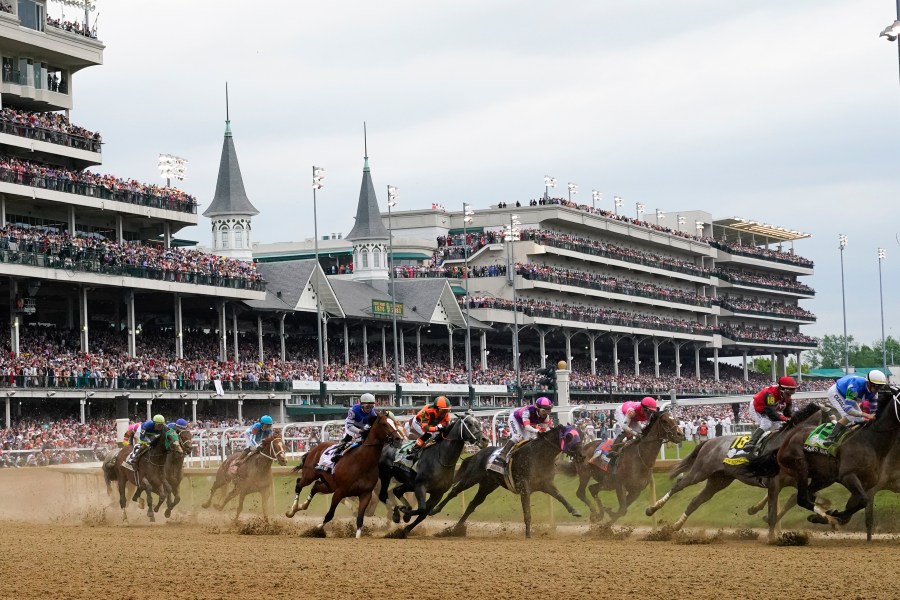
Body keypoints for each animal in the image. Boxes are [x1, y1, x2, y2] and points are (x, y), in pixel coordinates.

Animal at [284, 412, 404, 540]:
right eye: (384, 424)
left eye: (394, 422)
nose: (398, 438)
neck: (361, 462)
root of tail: (314, 448)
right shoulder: (340, 492)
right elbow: (330, 514)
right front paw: (316, 529)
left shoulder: (365, 494)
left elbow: (360, 518)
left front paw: (357, 536)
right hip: (310, 475)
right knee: (299, 484)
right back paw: (292, 510)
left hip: (329, 485)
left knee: (315, 487)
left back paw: (302, 506)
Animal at [380, 412, 492, 540]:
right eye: (469, 423)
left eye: (479, 423)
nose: (485, 440)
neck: (441, 459)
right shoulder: (420, 486)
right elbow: (422, 509)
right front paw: (405, 514)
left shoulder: (437, 493)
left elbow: (423, 514)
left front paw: (404, 528)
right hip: (385, 476)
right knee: (383, 495)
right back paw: (396, 514)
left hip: (409, 483)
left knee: (396, 491)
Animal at [428, 422, 584, 540]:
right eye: (569, 436)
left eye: (581, 435)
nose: (582, 455)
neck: (539, 456)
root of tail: (478, 453)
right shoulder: (524, 487)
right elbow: (527, 512)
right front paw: (528, 534)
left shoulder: (546, 484)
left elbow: (561, 497)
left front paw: (575, 511)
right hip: (471, 477)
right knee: (454, 491)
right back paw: (435, 510)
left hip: (488, 485)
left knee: (472, 505)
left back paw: (456, 530)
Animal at [644, 400, 828, 532]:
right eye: (830, 422)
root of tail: (710, 441)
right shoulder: (775, 481)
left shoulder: (795, 480)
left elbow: (801, 498)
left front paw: (824, 512)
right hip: (700, 471)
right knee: (678, 485)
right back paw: (652, 509)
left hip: (719, 479)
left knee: (696, 501)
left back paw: (676, 526)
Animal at [772, 386, 900, 540]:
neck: (870, 441)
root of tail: (787, 439)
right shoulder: (848, 476)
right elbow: (862, 501)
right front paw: (833, 515)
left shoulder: (866, 483)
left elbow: (855, 505)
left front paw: (831, 516)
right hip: (799, 465)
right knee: (802, 498)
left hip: (824, 478)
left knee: (806, 495)